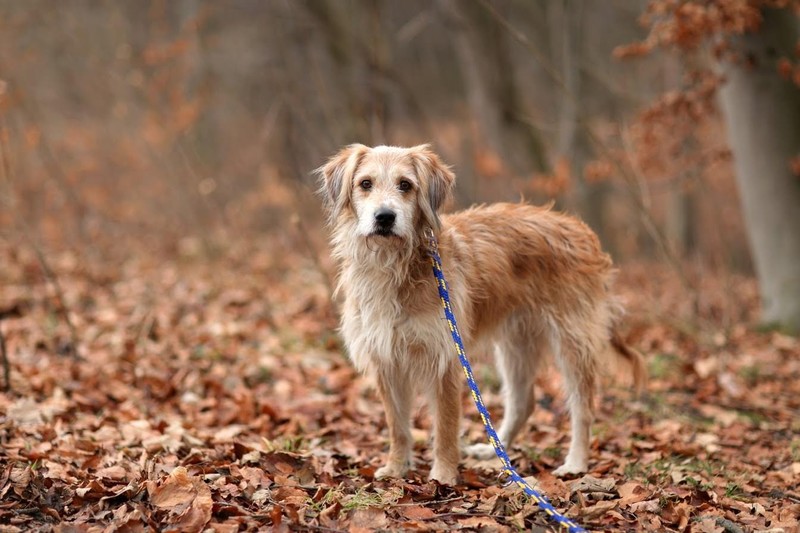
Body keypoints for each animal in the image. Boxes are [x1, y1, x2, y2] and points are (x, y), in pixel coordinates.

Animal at [316, 143, 648, 484]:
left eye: (405, 185)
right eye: (365, 184)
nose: (384, 217)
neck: (393, 265)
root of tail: (580, 229)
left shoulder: (445, 358)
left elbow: (445, 426)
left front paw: (443, 476)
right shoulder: (386, 360)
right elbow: (397, 426)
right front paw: (396, 468)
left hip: (573, 341)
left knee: (583, 406)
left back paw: (575, 463)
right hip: (516, 345)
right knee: (523, 403)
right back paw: (495, 452)